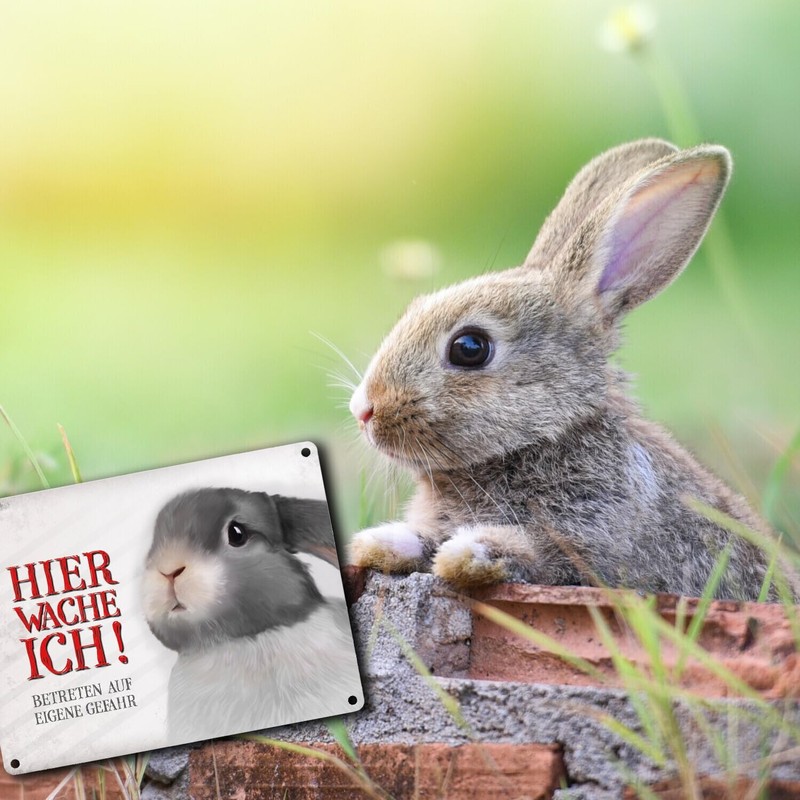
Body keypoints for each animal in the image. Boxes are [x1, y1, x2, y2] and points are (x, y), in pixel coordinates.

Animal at [348, 138, 782, 601]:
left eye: (470, 348)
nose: (364, 410)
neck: (546, 436)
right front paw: (379, 542)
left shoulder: (590, 545)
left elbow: (534, 554)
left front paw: (469, 553)